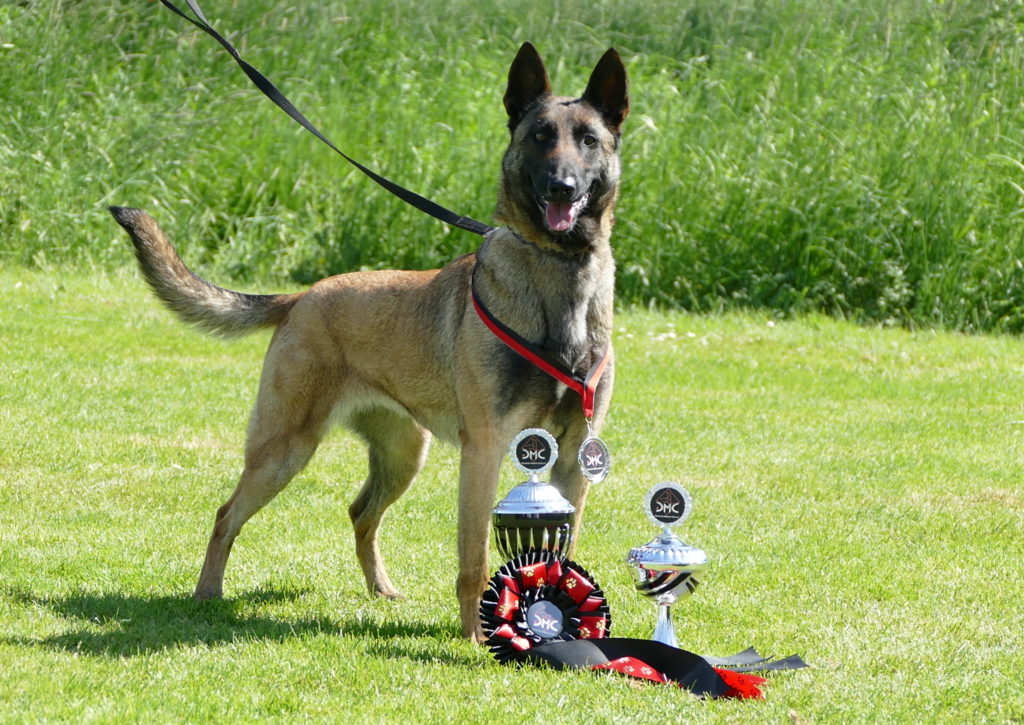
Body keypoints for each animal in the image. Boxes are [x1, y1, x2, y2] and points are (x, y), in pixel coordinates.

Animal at [108, 43, 626, 638]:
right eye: (541, 135)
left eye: (588, 139)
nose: (562, 186)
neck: (559, 280)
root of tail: (301, 297)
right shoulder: (487, 450)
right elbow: (473, 560)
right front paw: (478, 636)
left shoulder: (573, 461)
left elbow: (560, 555)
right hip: (285, 449)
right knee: (226, 514)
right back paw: (207, 593)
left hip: (402, 456)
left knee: (360, 514)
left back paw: (380, 589)